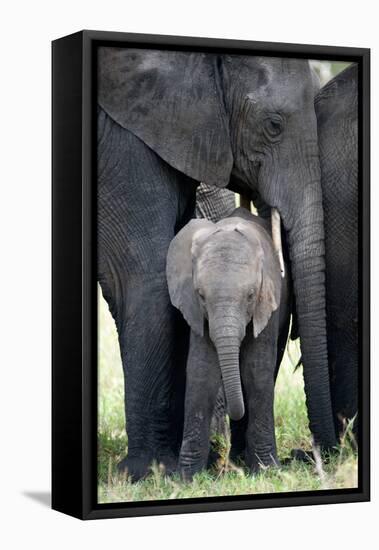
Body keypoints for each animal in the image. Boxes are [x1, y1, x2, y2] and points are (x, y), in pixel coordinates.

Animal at [167, 209, 290, 480]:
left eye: (251, 295)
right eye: (201, 295)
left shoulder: (268, 302)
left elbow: (257, 371)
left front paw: (267, 471)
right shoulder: (196, 311)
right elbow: (202, 371)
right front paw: (186, 478)